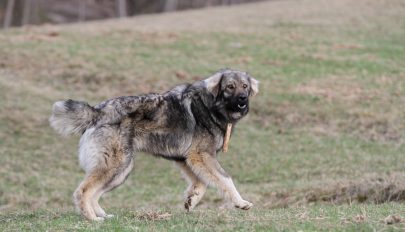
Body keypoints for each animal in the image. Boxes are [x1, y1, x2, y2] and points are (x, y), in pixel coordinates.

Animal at [49, 69, 258, 221]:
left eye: (245, 86)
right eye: (230, 86)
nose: (243, 99)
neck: (211, 105)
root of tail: (97, 112)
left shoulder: (186, 159)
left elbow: (201, 183)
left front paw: (191, 200)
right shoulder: (202, 155)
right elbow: (225, 179)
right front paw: (241, 203)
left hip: (121, 171)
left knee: (94, 193)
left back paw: (103, 215)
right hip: (115, 165)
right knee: (83, 192)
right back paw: (92, 219)